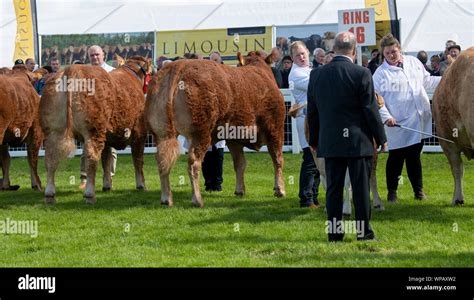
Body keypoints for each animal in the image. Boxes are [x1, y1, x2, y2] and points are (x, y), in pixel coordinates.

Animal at [41, 55, 153, 204]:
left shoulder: (108, 137)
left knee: (50, 159)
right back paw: (89, 194)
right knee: (92, 158)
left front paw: (107, 185)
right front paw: (141, 185)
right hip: (94, 131)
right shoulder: (139, 133)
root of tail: (73, 69)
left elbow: (106, 161)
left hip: (53, 131)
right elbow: (138, 160)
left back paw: (49, 195)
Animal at [145, 51, 286, 206]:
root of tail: (178, 66)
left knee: (162, 161)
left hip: (161, 133)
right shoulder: (275, 128)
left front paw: (240, 190)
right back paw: (197, 199)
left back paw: (166, 198)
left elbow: (240, 163)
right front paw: (280, 190)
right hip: (200, 133)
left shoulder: (233, 138)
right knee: (194, 163)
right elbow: (277, 159)